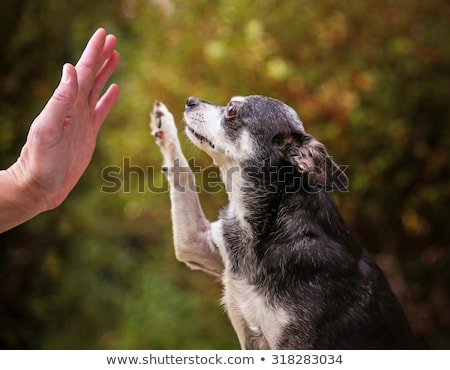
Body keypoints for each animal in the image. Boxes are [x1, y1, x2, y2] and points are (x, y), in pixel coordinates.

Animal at [149, 95, 416, 350]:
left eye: (232, 110)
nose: (190, 101)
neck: (270, 223)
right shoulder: (193, 244)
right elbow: (182, 173)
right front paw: (165, 127)